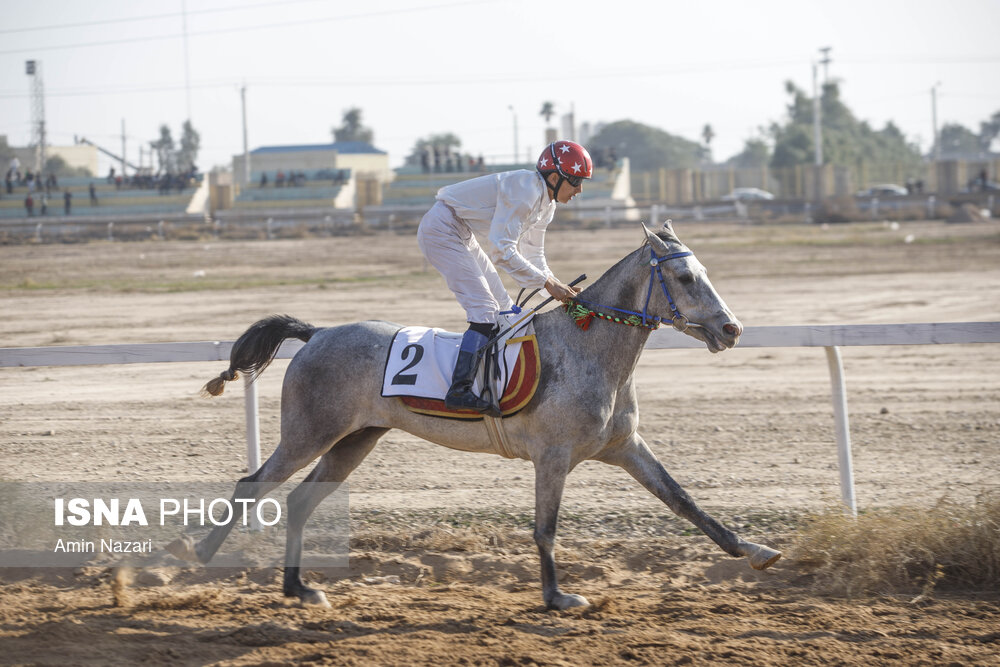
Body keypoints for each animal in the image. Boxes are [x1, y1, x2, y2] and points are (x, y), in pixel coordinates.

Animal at [168, 223, 780, 612]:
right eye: (685, 279)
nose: (732, 329)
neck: (588, 349)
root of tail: (317, 333)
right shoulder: (553, 457)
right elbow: (545, 528)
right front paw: (556, 597)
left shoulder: (624, 447)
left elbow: (685, 500)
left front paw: (755, 552)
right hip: (310, 432)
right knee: (252, 484)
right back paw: (199, 557)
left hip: (354, 440)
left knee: (297, 501)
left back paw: (298, 590)